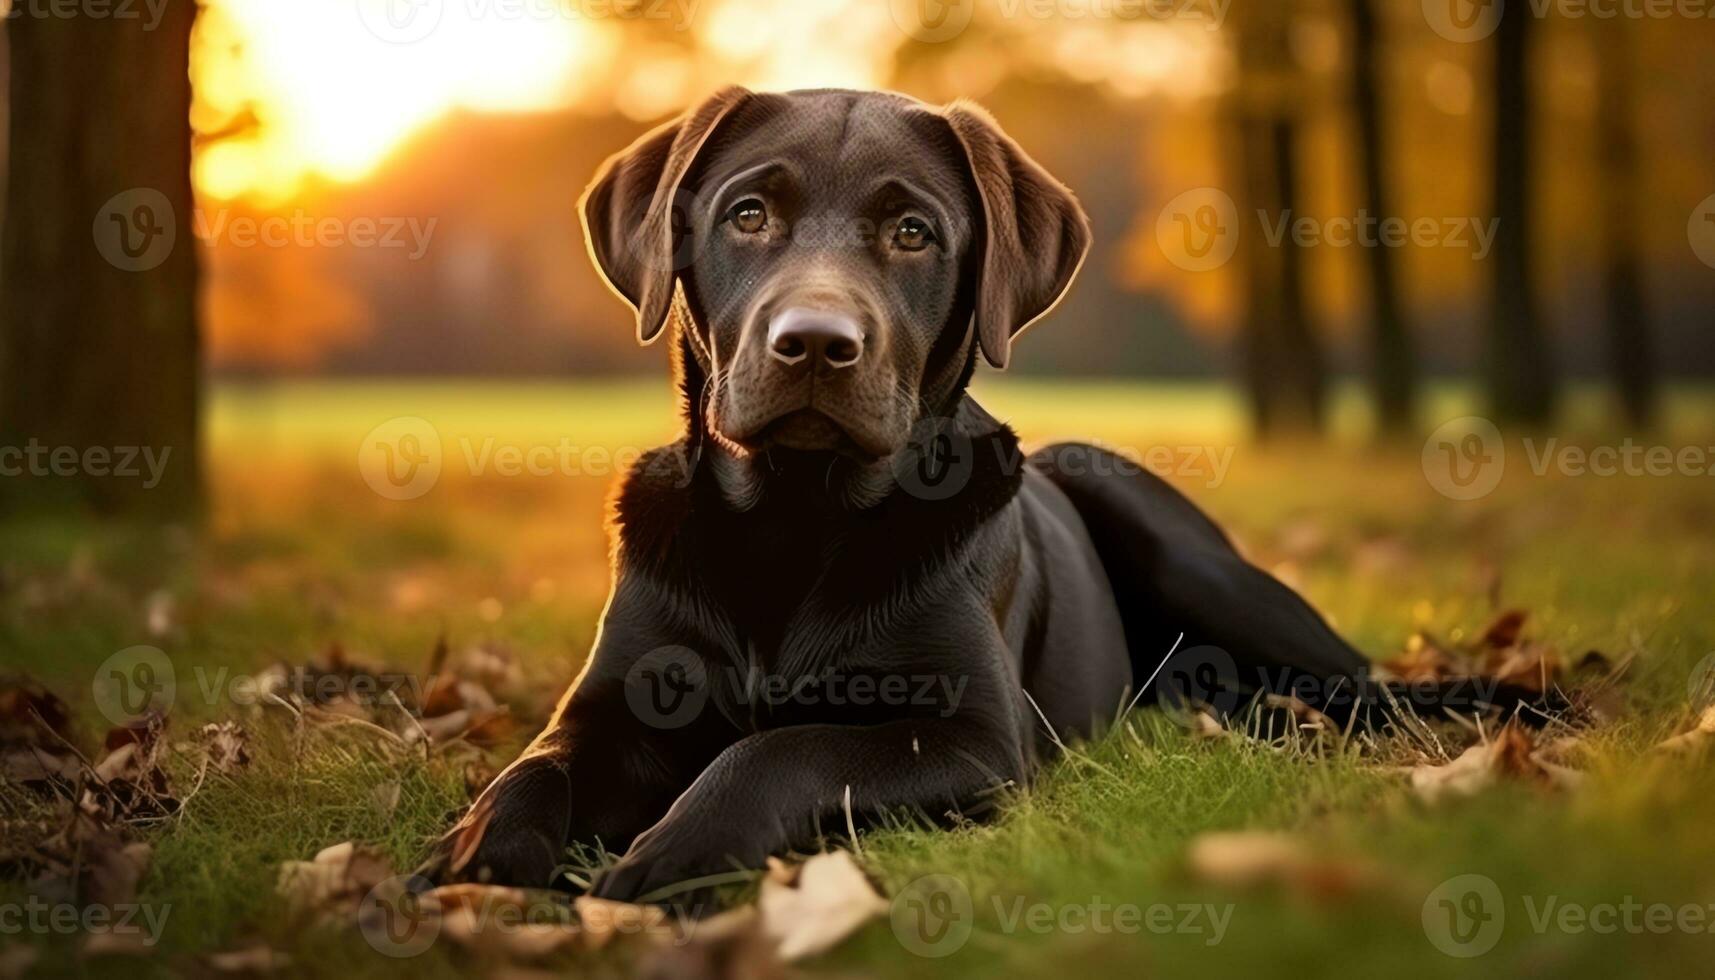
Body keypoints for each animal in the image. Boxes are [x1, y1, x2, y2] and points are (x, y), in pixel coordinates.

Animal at [425, 86, 1543, 906]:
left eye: (913, 232)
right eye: (748, 214)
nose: (815, 343)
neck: (796, 517)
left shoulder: (972, 738)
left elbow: (777, 748)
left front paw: (668, 855)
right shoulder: (615, 702)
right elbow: (534, 766)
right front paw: (471, 852)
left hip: (1176, 543)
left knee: (1363, 689)